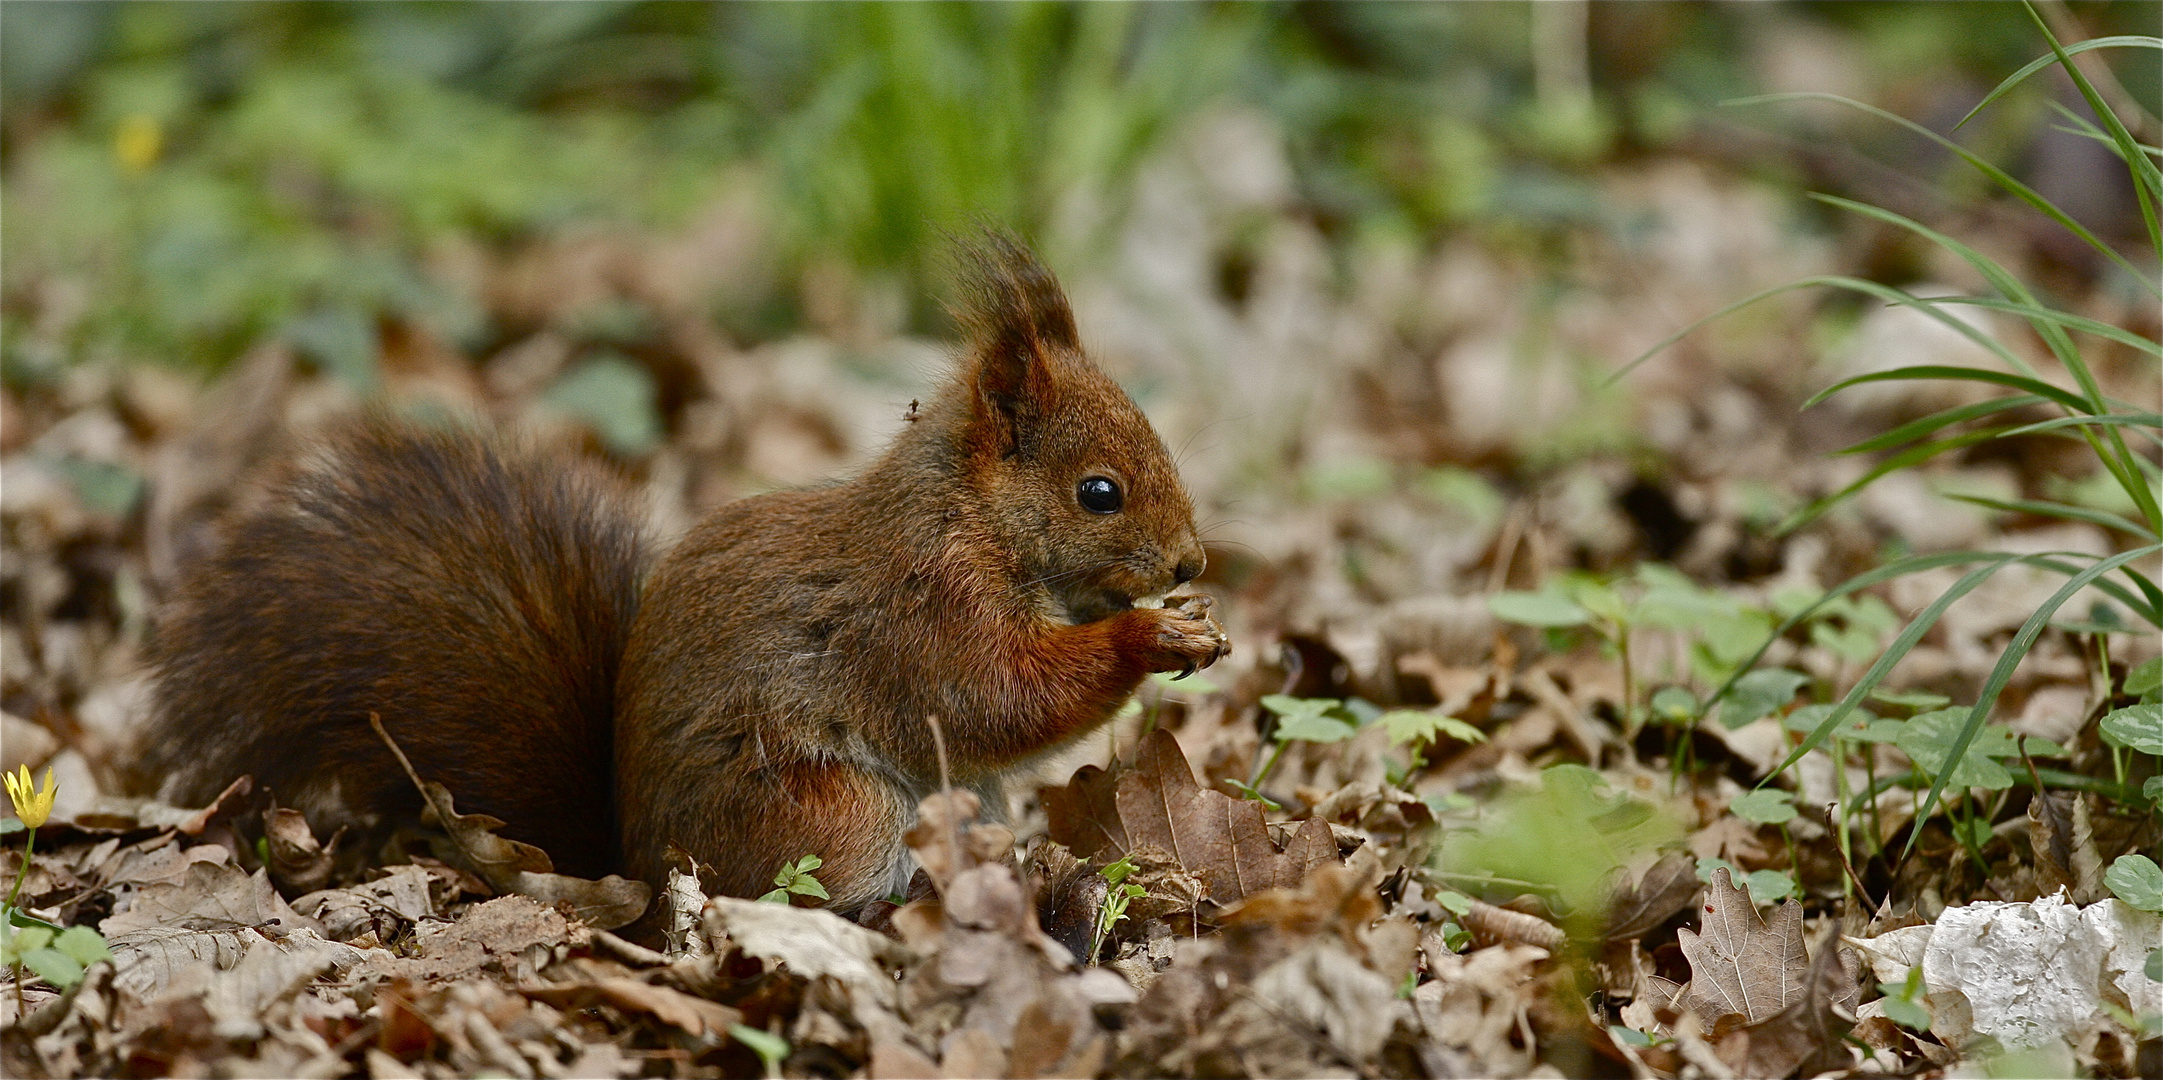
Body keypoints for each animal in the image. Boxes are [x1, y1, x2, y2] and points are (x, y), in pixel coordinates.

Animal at [130, 239, 1237, 913]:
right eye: (1098, 492)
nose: (1191, 559)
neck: (970, 515)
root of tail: (629, 861)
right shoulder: (925, 605)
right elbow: (994, 700)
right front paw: (1152, 635)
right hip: (829, 811)